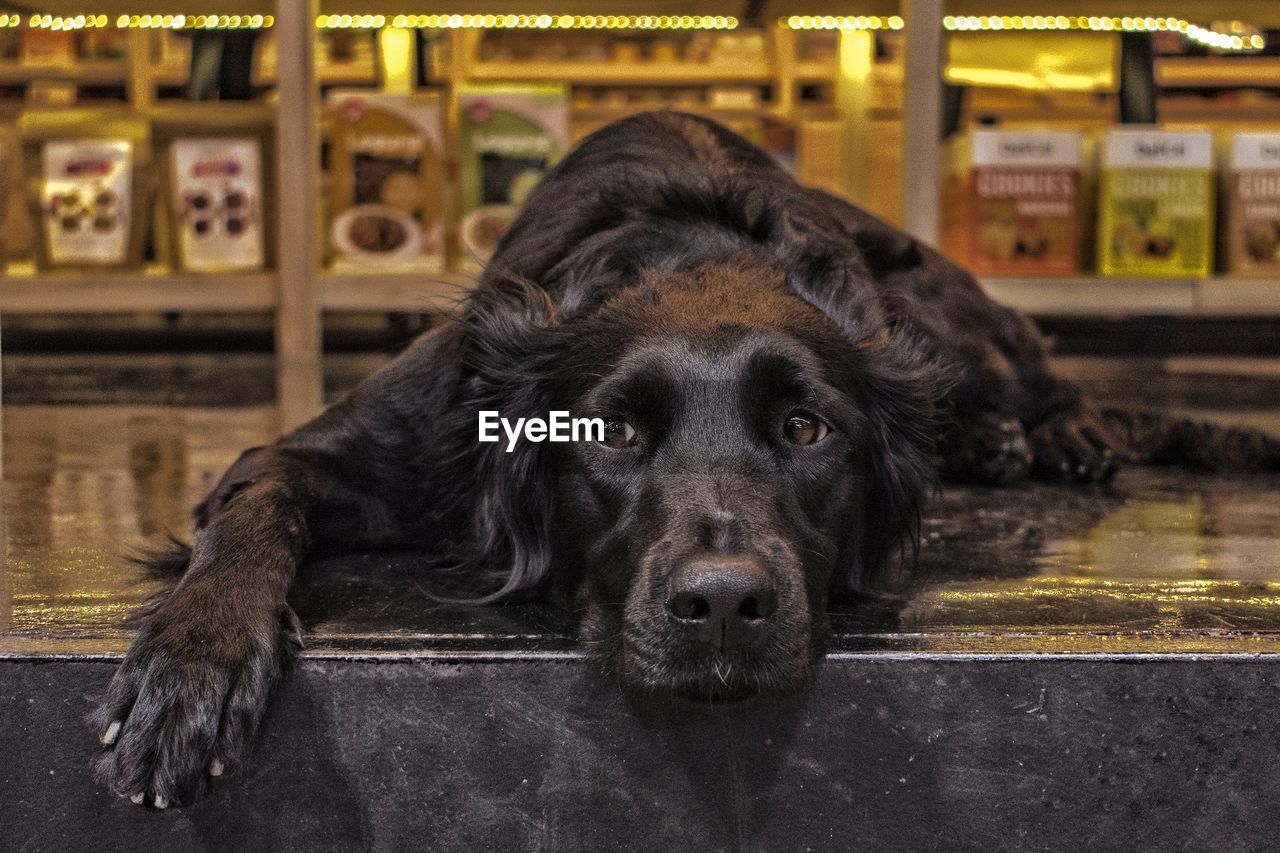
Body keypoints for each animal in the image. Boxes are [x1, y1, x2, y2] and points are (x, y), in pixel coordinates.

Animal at [92, 111, 1280, 804]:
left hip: (952, 314)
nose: (719, 607)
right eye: (612, 432)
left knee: (1047, 375)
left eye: (805, 429)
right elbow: (252, 511)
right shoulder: (351, 440)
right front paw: (192, 664)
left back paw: (1050, 435)